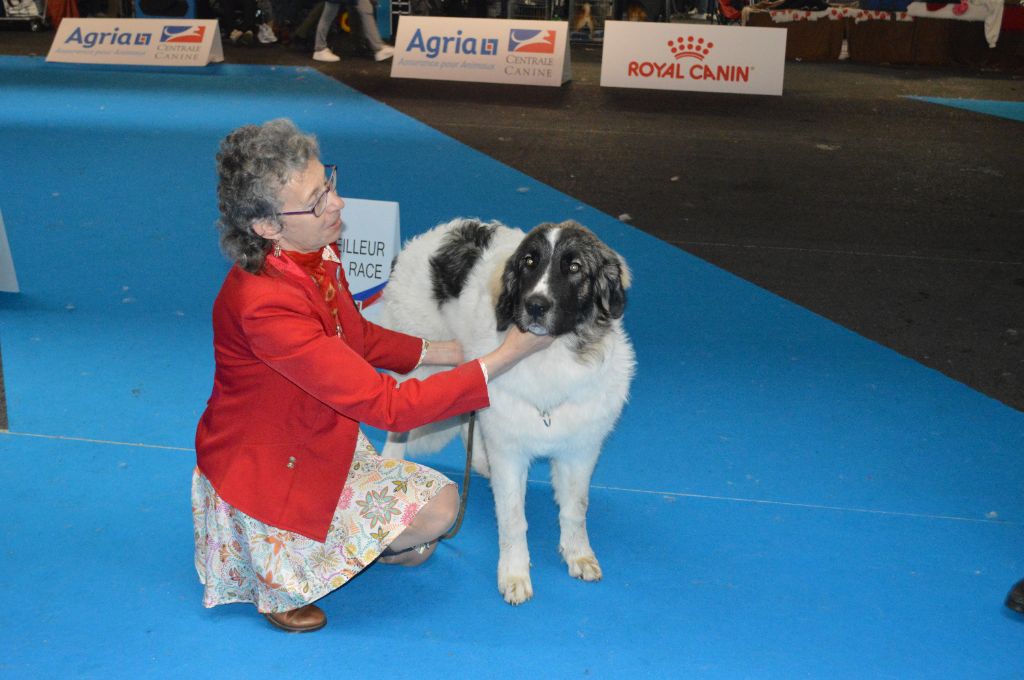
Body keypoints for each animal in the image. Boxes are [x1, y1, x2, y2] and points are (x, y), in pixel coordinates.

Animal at [380, 218, 634, 606]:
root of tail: (430, 237)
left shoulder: (580, 450)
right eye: (529, 262)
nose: (536, 305)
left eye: (575, 268)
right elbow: (514, 519)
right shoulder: (511, 453)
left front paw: (578, 555)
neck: (552, 357)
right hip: (419, 366)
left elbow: (575, 509)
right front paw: (514, 574)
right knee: (399, 423)